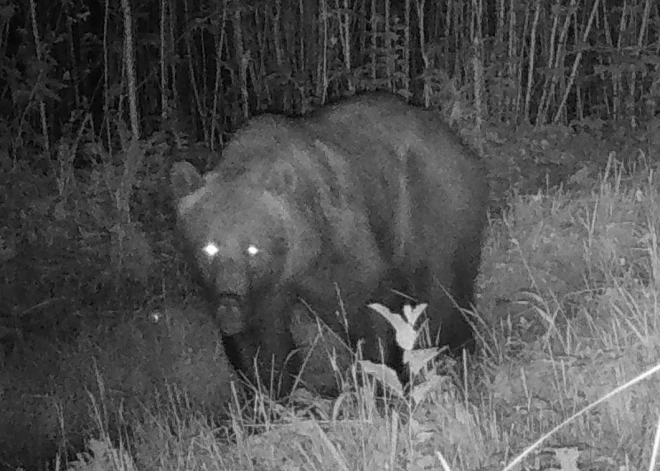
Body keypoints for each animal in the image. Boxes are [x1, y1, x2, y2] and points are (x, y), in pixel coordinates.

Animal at [170, 93, 490, 398]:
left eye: (253, 248)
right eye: (208, 247)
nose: (230, 298)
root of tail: (461, 146)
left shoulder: (341, 241)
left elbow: (370, 305)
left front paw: (383, 381)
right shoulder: (265, 290)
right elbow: (262, 343)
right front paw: (270, 394)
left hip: (435, 210)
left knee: (443, 293)